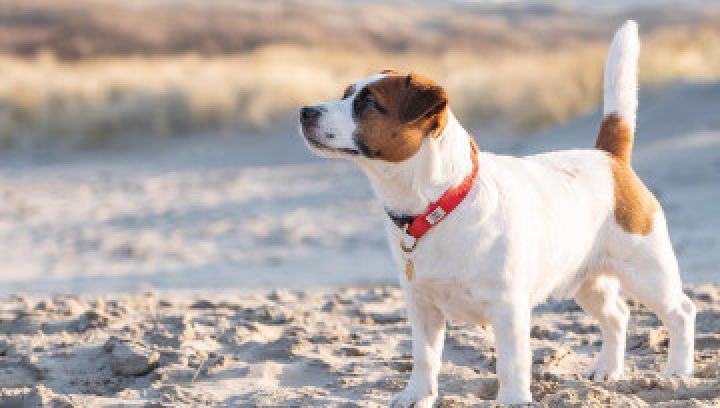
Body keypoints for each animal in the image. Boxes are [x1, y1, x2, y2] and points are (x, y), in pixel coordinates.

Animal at [296, 21, 692, 404]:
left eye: (368, 103)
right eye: (346, 93)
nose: (304, 111)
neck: (439, 204)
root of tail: (610, 158)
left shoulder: (509, 309)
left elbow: (511, 365)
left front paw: (513, 399)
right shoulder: (421, 306)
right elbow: (425, 358)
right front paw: (416, 396)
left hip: (647, 273)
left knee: (681, 312)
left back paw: (677, 372)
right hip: (587, 280)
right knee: (618, 316)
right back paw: (607, 370)